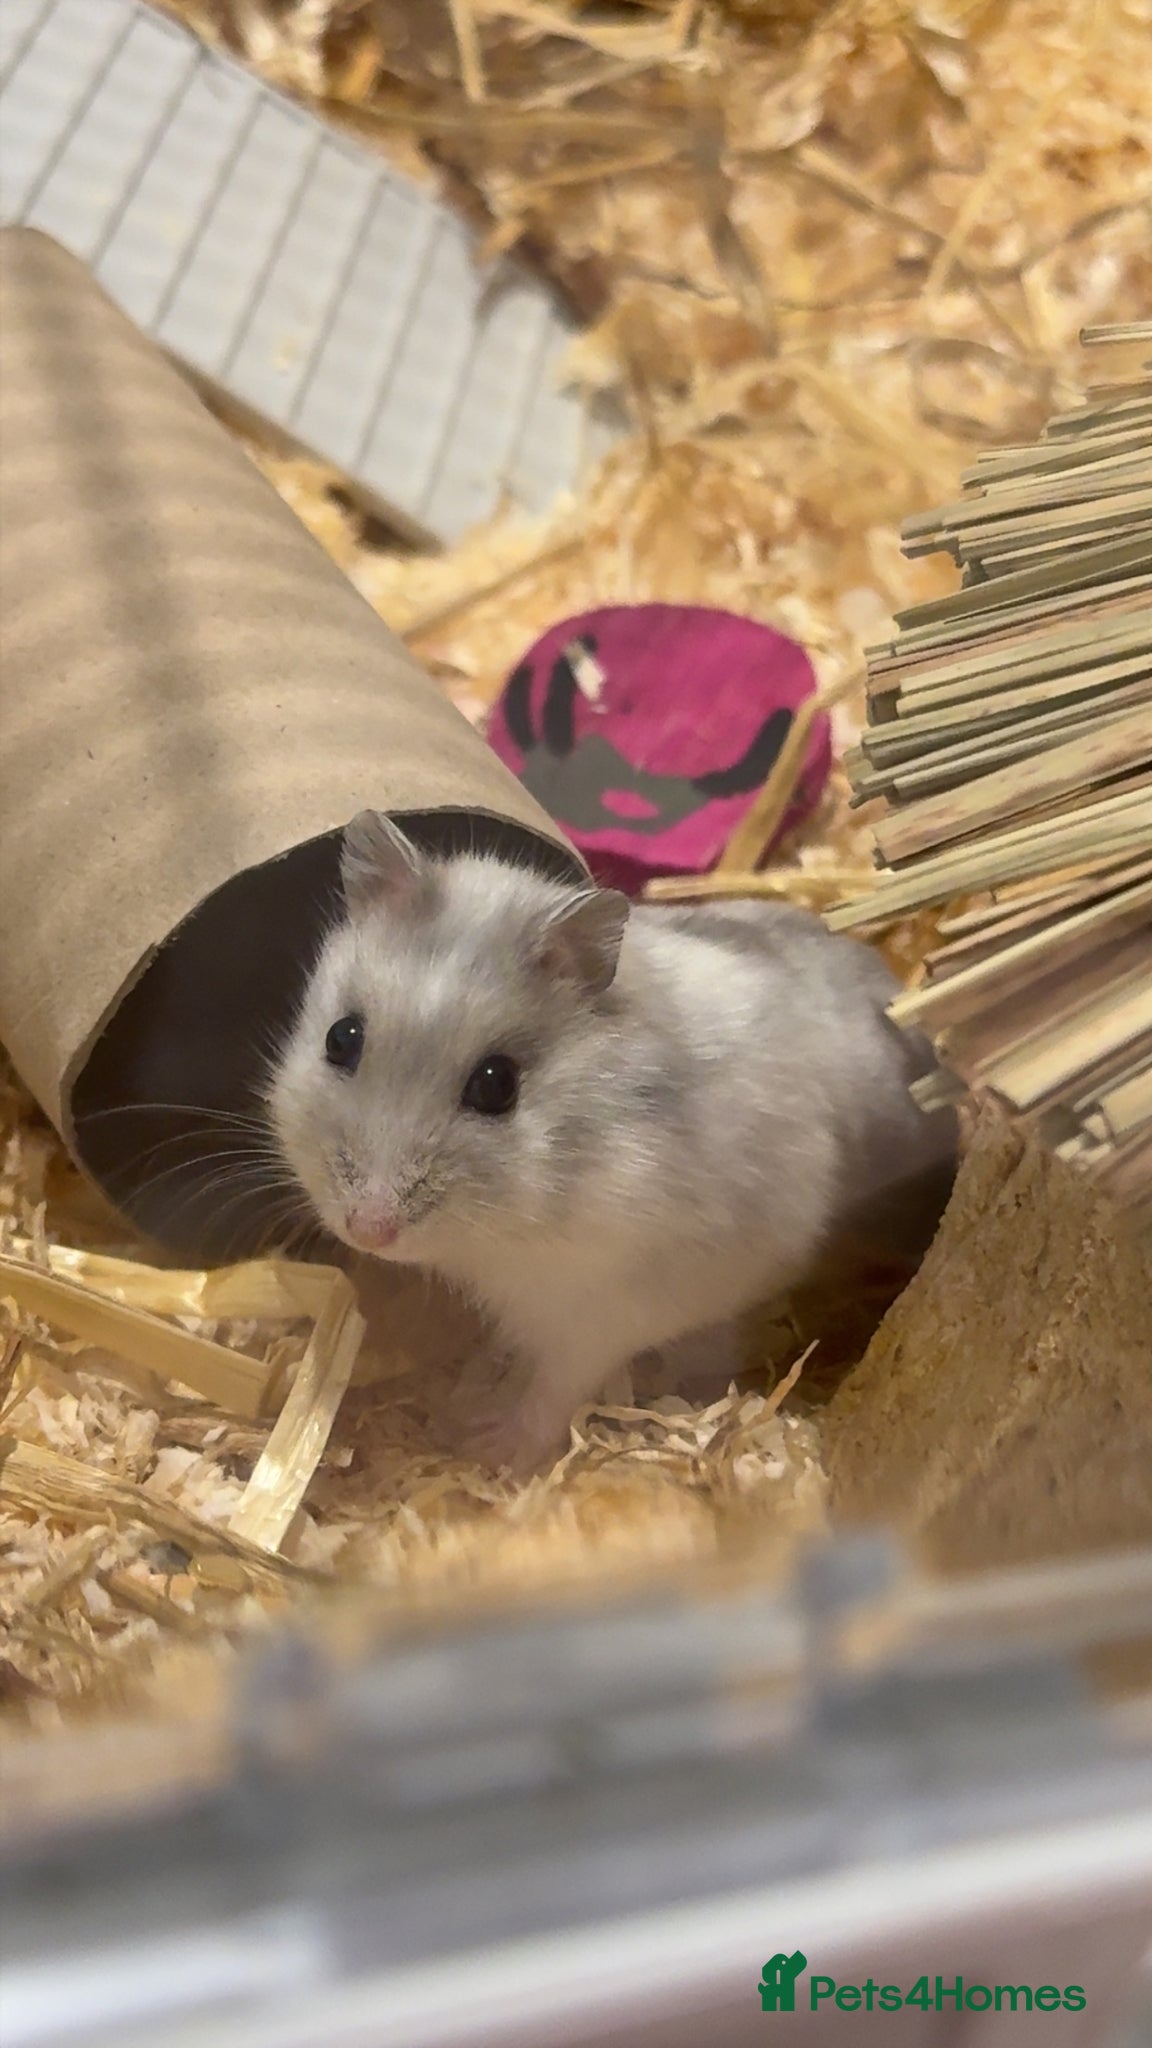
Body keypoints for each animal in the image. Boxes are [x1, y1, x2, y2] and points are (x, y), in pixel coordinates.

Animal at [269, 812, 957, 1473]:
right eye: (341, 1038)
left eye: (496, 1085)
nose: (368, 1231)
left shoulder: (607, 1307)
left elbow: (556, 1386)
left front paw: (491, 1447)